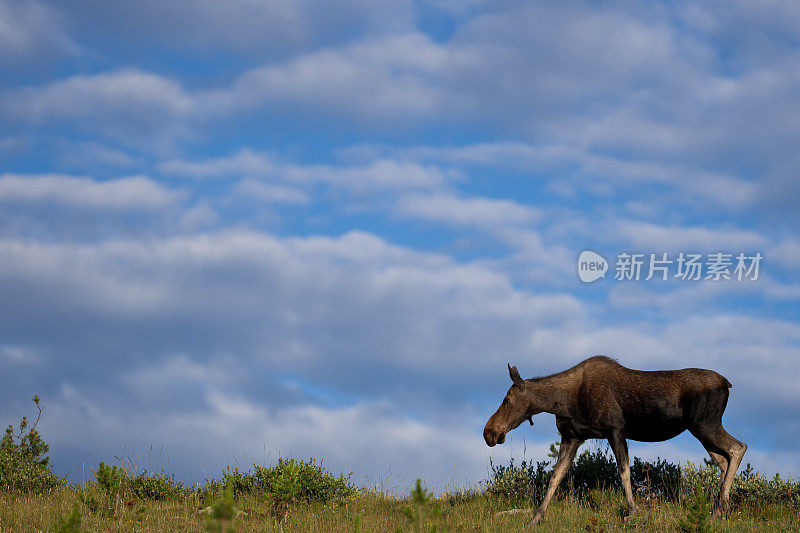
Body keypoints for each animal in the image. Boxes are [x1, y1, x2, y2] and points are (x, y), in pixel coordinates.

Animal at [484, 356, 748, 520]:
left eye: (507, 399)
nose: (489, 432)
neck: (564, 401)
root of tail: (727, 383)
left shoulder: (615, 429)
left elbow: (624, 472)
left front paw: (632, 512)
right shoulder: (572, 436)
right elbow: (555, 477)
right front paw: (536, 517)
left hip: (706, 423)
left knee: (738, 448)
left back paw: (720, 509)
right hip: (699, 430)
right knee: (723, 459)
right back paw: (720, 509)